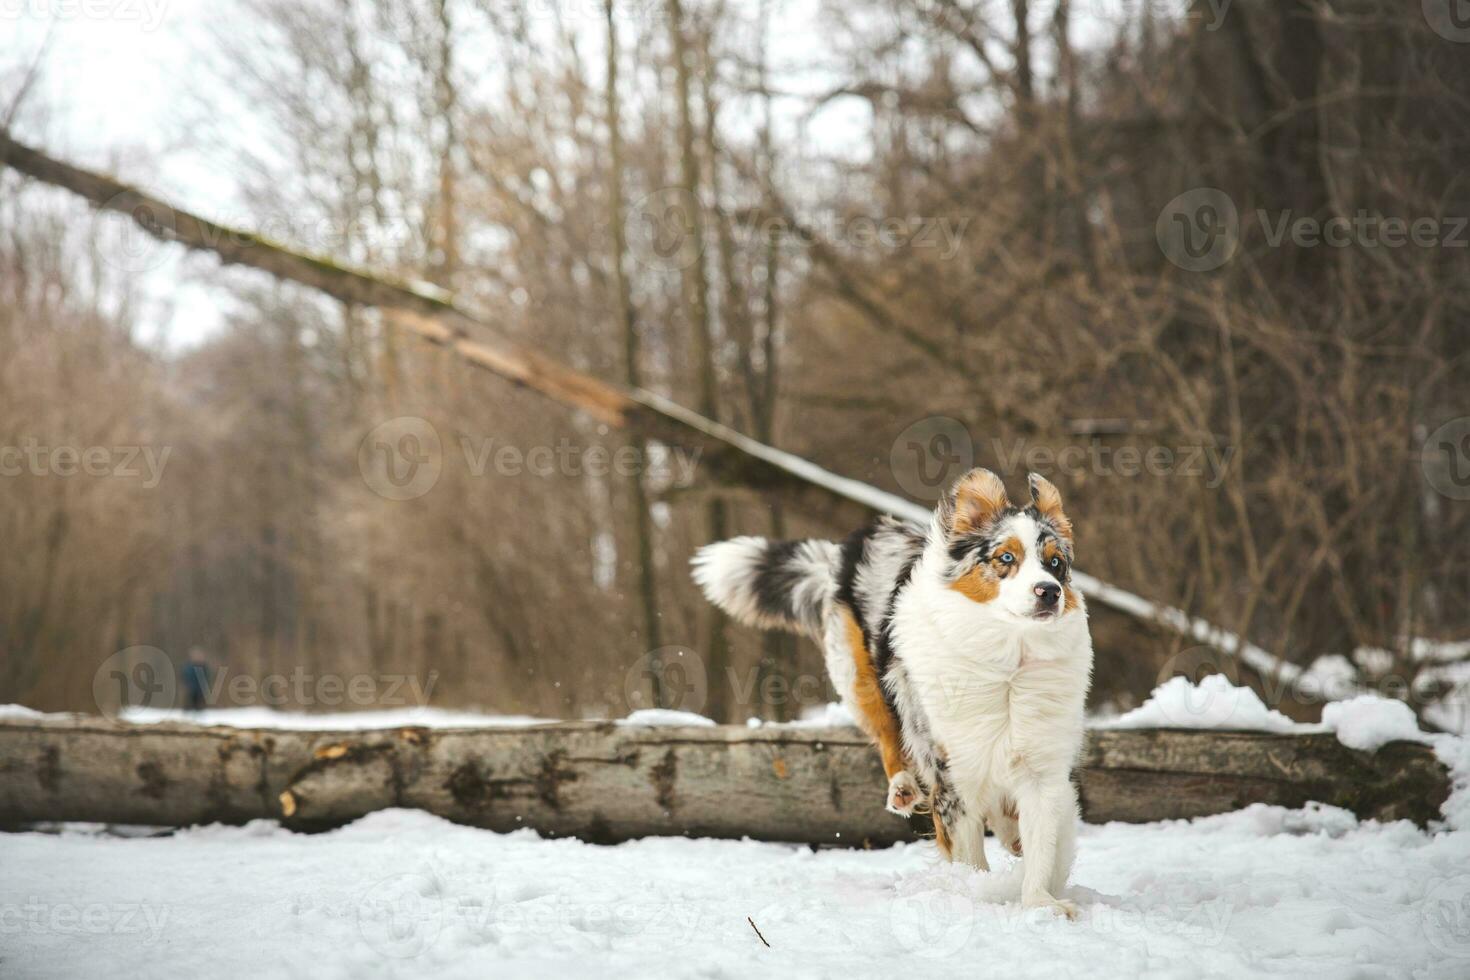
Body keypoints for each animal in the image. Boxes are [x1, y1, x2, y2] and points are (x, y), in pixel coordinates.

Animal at [690, 470, 1093, 922]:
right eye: (1006, 558)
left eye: (1056, 563)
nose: (1049, 592)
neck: (1008, 661)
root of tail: (853, 544)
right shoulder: (949, 771)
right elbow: (967, 852)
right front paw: (974, 893)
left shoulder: (1042, 770)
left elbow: (1044, 846)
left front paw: (1042, 904)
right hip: (859, 678)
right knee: (887, 736)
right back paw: (903, 788)